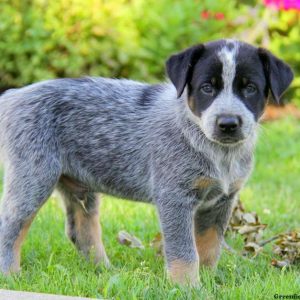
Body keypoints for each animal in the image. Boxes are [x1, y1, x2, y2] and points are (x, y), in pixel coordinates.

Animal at [0, 38, 292, 284]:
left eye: (250, 88)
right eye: (207, 88)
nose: (228, 123)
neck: (217, 152)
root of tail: (13, 96)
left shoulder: (222, 200)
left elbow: (209, 247)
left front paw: (208, 281)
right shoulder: (175, 198)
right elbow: (185, 251)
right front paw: (187, 287)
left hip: (79, 186)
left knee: (81, 230)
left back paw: (105, 272)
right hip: (34, 176)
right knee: (11, 225)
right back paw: (10, 275)